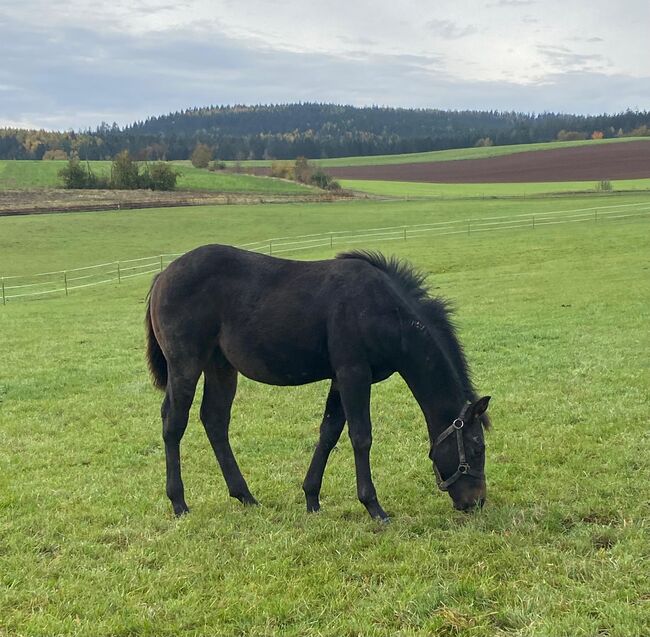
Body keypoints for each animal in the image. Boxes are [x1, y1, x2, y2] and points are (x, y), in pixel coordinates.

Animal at [146, 246, 492, 520]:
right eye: (477, 448)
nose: (476, 502)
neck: (383, 309)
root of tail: (162, 276)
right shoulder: (354, 373)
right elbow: (361, 436)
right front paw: (373, 506)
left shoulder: (340, 379)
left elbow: (329, 432)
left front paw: (312, 498)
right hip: (186, 365)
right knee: (173, 422)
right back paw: (179, 502)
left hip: (220, 366)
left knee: (215, 420)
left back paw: (245, 496)